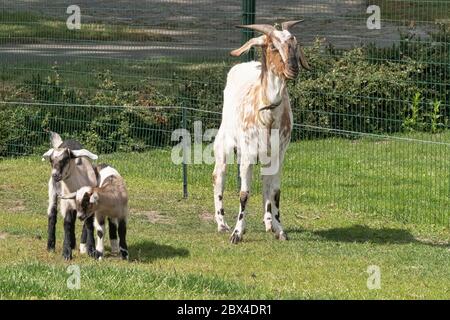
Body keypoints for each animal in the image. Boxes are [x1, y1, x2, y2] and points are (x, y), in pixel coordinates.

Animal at [213, 21, 312, 244]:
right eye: (274, 46)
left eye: (295, 44)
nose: (293, 69)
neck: (267, 116)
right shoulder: (248, 155)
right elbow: (244, 193)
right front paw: (237, 233)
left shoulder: (278, 155)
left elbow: (274, 192)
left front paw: (280, 229)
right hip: (224, 143)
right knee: (218, 175)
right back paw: (222, 223)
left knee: (265, 184)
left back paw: (268, 222)